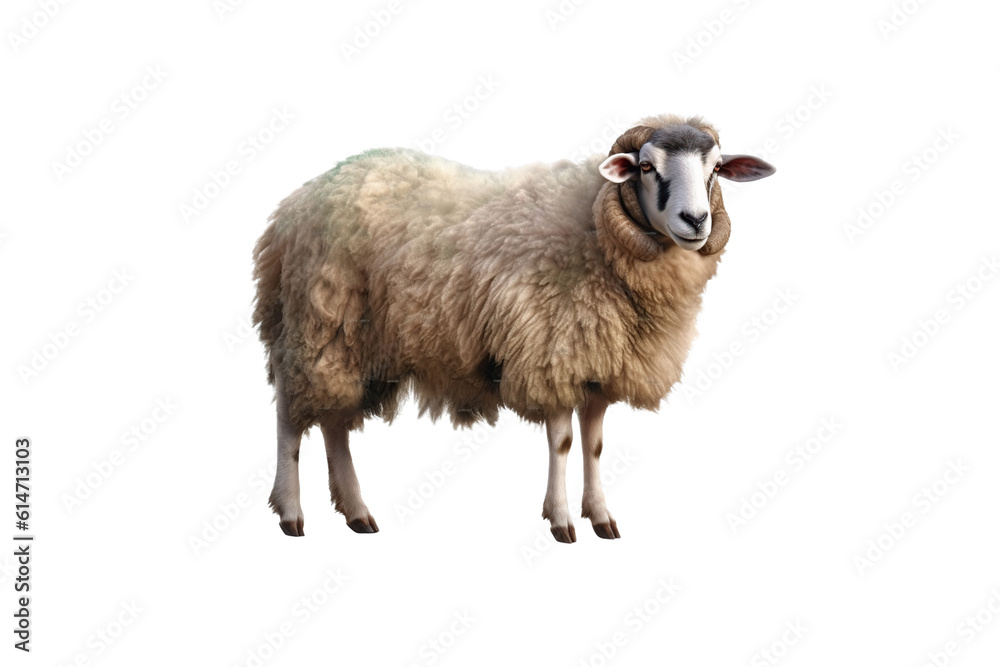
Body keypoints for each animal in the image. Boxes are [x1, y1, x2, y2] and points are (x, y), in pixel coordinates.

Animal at [252, 114, 775, 541]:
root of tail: (293, 207)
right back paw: (292, 514)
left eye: (716, 168)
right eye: (646, 166)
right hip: (315, 323)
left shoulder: (599, 364)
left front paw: (600, 516)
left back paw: (356, 512)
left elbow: (595, 445)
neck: (595, 234)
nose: (696, 220)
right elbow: (563, 443)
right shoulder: (552, 355)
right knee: (290, 419)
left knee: (335, 422)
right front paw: (562, 522)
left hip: (353, 342)